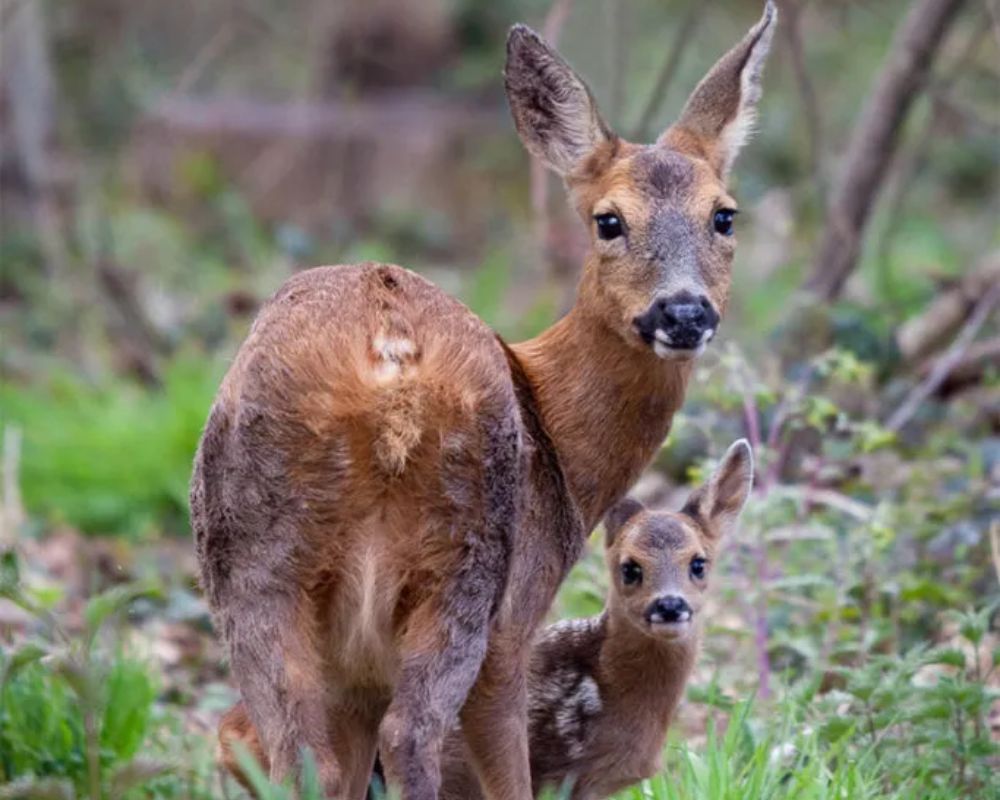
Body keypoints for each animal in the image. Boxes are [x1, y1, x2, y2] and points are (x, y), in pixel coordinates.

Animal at [191, 3, 776, 796]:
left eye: (724, 215)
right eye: (609, 220)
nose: (682, 312)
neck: (559, 437)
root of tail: (388, 357)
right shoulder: (516, 617)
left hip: (252, 557)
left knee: (291, 747)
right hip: (465, 562)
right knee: (409, 733)